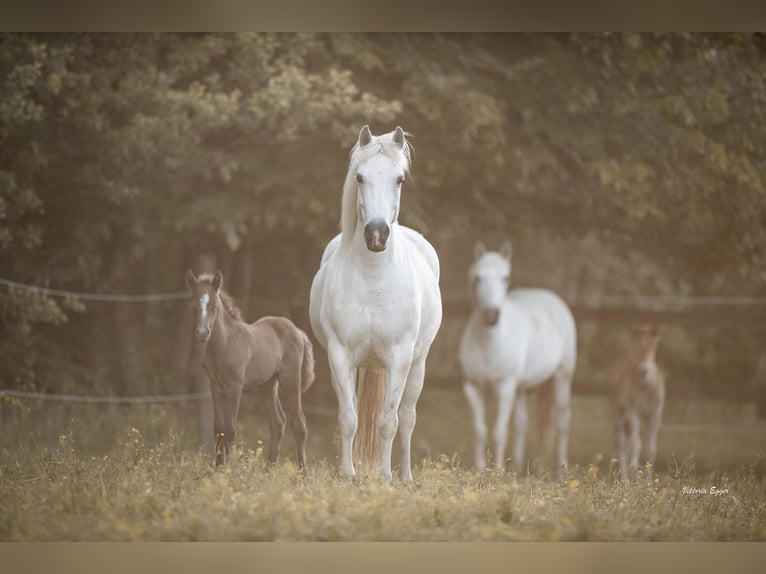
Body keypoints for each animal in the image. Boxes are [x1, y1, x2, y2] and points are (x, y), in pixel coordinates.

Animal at [185, 270, 315, 468]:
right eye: (193, 306)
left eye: (214, 306)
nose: (202, 333)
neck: (224, 344)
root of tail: (299, 332)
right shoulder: (216, 387)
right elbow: (218, 429)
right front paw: (218, 468)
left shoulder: (235, 386)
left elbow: (230, 429)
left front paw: (228, 470)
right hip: (268, 385)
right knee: (278, 422)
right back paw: (268, 469)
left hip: (291, 382)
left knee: (299, 424)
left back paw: (303, 472)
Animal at [309, 125, 442, 484]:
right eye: (359, 177)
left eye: (399, 179)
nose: (377, 234)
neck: (374, 279)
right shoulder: (339, 356)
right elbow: (348, 418)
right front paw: (348, 475)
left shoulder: (400, 358)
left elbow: (388, 422)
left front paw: (385, 479)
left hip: (418, 364)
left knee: (407, 419)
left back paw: (407, 477)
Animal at [458, 242, 577, 476]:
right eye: (477, 277)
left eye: (505, 277)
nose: (491, 315)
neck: (489, 342)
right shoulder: (473, 387)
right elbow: (479, 430)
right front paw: (480, 469)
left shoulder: (505, 387)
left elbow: (499, 432)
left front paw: (496, 472)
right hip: (522, 388)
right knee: (523, 425)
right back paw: (518, 469)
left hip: (562, 376)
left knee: (562, 421)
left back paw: (562, 470)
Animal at [609, 323, 665, 481]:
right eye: (637, 344)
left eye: (654, 346)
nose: (643, 370)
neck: (646, 388)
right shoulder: (634, 412)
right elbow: (636, 444)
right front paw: (635, 479)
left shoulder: (655, 414)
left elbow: (651, 448)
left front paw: (648, 481)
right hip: (617, 410)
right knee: (622, 443)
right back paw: (624, 479)